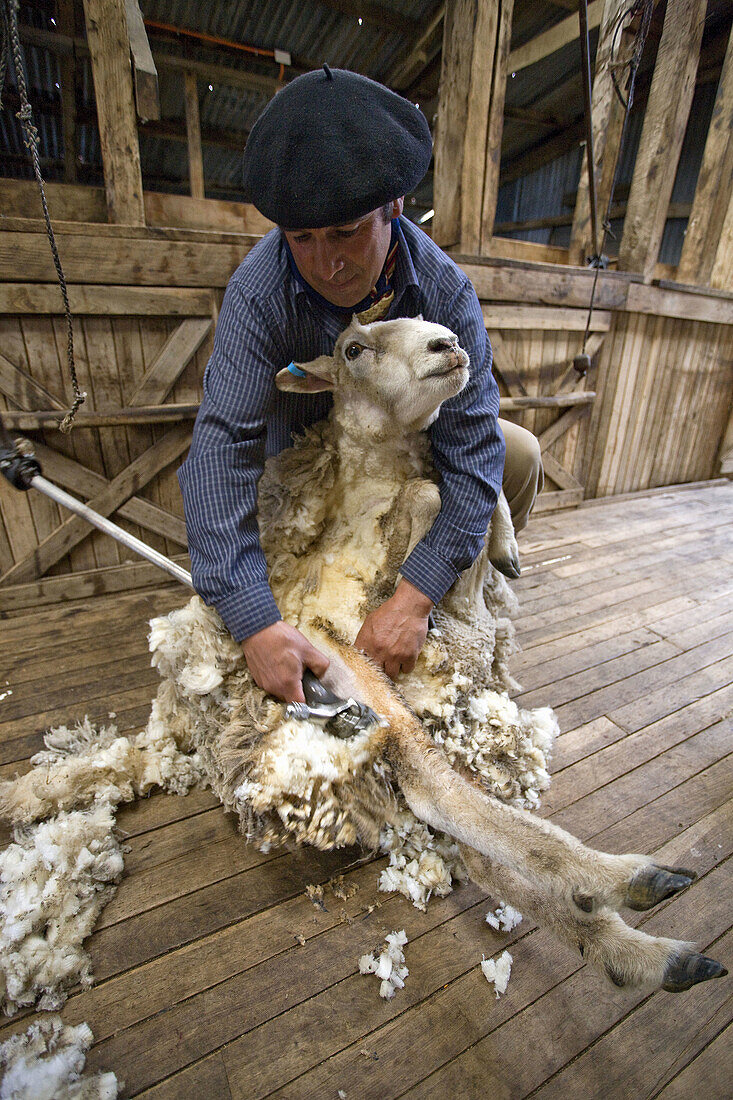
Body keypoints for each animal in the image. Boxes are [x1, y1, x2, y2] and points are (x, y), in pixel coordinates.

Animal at [0, 316, 717, 998]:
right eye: (352, 348)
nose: (449, 343)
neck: (380, 467)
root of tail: (177, 726)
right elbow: (434, 496)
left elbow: (469, 486)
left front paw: (507, 545)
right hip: (350, 674)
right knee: (435, 791)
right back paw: (628, 889)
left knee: (466, 844)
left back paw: (628, 950)